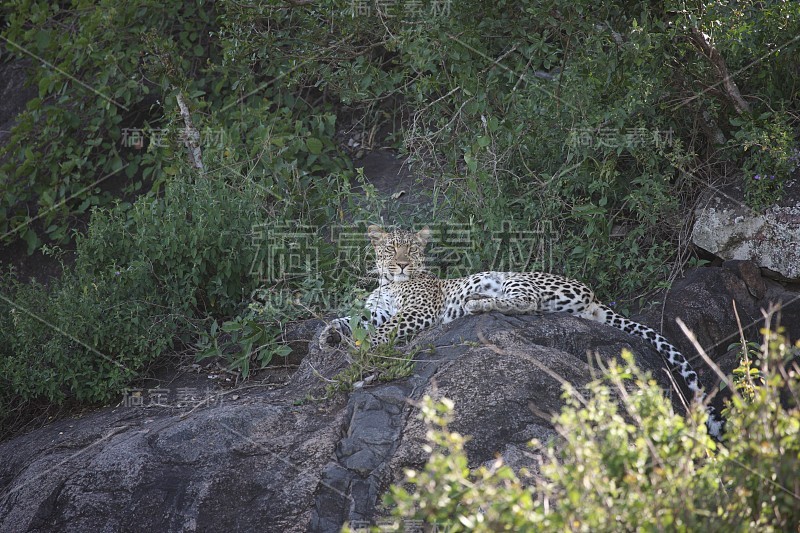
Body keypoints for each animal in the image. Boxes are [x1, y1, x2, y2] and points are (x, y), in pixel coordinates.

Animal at [320, 224, 724, 436]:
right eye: (390, 249)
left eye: (410, 251)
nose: (402, 265)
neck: (389, 284)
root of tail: (593, 296)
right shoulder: (372, 312)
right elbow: (347, 320)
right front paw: (328, 336)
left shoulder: (417, 313)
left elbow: (382, 332)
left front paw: (360, 350)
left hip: (516, 279)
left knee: (525, 302)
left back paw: (476, 303)